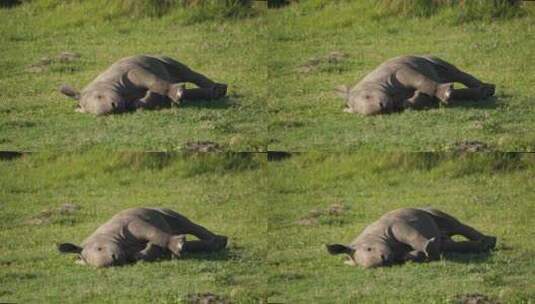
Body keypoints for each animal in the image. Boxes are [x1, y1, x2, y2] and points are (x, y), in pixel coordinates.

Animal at [57, 208, 227, 268]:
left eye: (99, 248)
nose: (112, 262)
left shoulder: (130, 224)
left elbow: (151, 232)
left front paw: (176, 246)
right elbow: (142, 253)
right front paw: (152, 250)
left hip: (159, 210)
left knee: (181, 221)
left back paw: (221, 241)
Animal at [60, 54, 228, 115]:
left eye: (100, 96)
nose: (113, 109)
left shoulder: (130, 72)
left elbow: (152, 80)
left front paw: (175, 93)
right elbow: (139, 102)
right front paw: (152, 99)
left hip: (159, 58)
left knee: (183, 70)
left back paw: (220, 89)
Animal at [326, 207, 498, 268]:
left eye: (369, 248)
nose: (383, 260)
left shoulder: (395, 225)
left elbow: (409, 235)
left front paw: (427, 249)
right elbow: (408, 256)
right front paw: (421, 255)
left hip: (426, 210)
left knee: (451, 223)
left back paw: (491, 241)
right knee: (449, 244)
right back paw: (485, 245)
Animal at [340, 55, 498, 115]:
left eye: (367, 97)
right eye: (359, 112)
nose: (381, 109)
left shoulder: (398, 72)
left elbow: (419, 79)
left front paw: (444, 92)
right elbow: (409, 102)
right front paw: (417, 97)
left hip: (429, 59)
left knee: (453, 72)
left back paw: (489, 89)